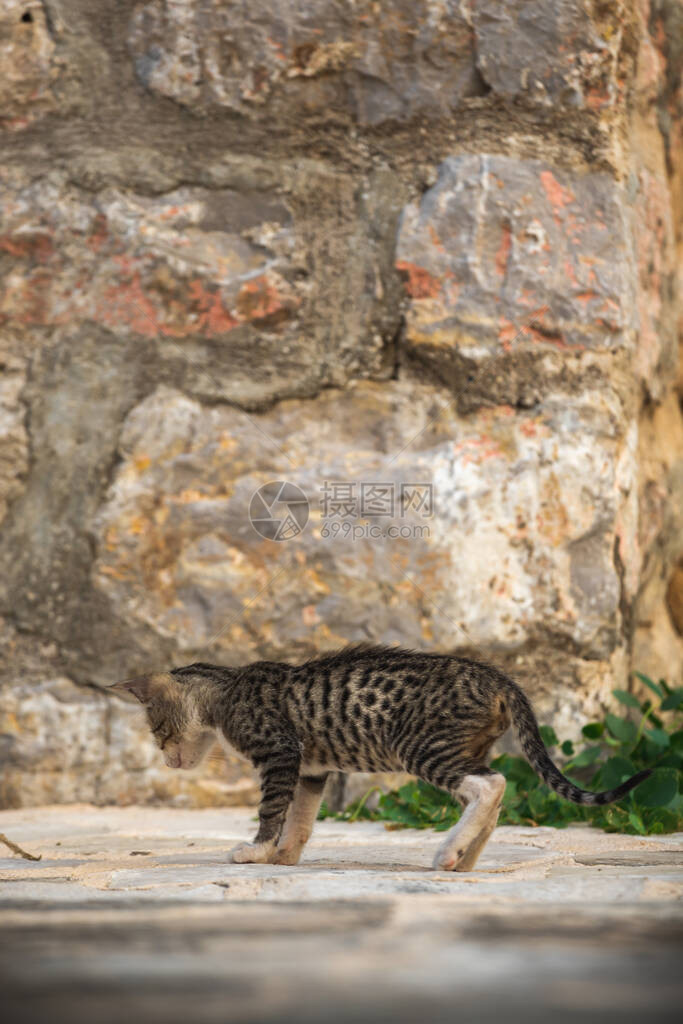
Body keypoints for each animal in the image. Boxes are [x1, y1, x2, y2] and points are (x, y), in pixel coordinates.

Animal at [108, 643, 651, 868]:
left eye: (158, 731)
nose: (167, 760)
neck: (227, 689)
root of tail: (496, 676)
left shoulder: (279, 752)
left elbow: (271, 811)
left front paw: (257, 850)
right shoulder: (312, 768)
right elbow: (300, 819)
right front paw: (283, 856)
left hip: (420, 747)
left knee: (491, 784)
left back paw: (449, 852)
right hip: (459, 747)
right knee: (492, 795)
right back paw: (463, 857)